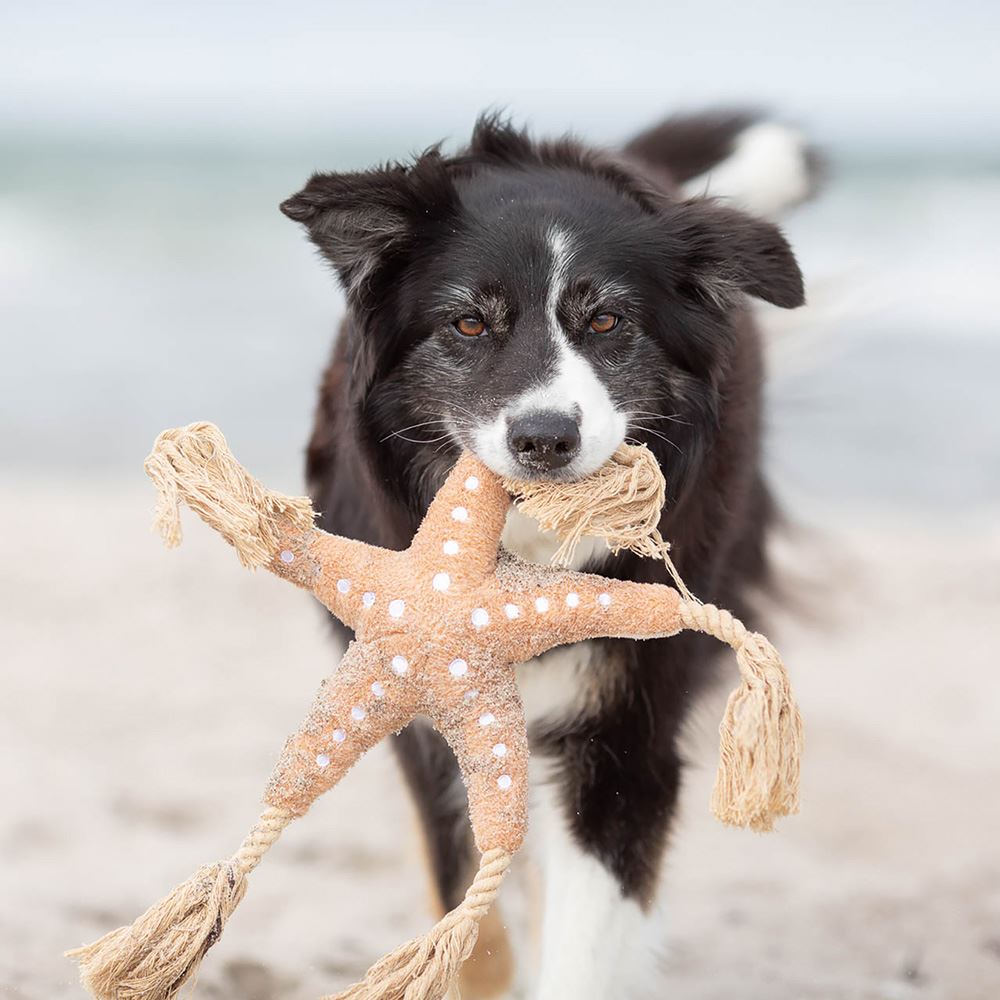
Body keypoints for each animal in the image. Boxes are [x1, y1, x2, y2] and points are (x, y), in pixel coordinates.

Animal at [280, 113, 812, 996]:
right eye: (468, 323)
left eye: (606, 322)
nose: (544, 438)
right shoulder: (423, 714)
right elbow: (475, 929)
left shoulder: (623, 734)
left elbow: (584, 938)